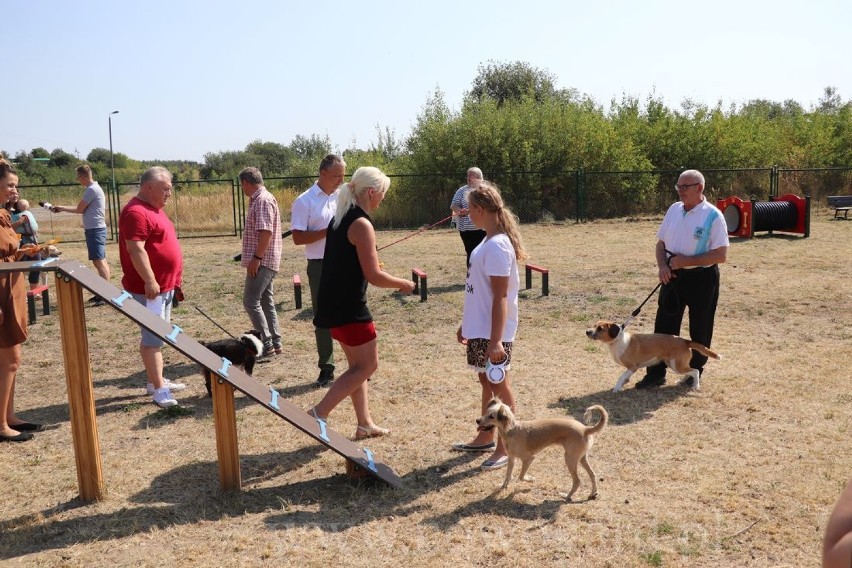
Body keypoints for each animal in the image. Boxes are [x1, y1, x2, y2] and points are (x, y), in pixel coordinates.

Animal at [476, 398, 608, 500]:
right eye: (486, 412)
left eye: (491, 416)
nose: (477, 420)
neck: (511, 431)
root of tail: (586, 429)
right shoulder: (511, 458)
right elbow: (508, 475)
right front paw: (503, 486)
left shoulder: (528, 458)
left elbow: (521, 476)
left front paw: (530, 480)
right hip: (581, 458)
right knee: (593, 475)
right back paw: (592, 494)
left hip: (570, 459)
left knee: (577, 481)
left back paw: (567, 496)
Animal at [584, 320, 720, 394]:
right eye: (594, 325)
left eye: (600, 328)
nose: (587, 332)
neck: (617, 340)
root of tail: (685, 341)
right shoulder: (630, 369)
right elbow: (625, 378)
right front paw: (623, 385)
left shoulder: (632, 367)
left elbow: (621, 376)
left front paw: (617, 388)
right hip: (675, 365)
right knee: (691, 371)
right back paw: (682, 381)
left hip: (677, 366)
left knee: (696, 371)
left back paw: (695, 386)